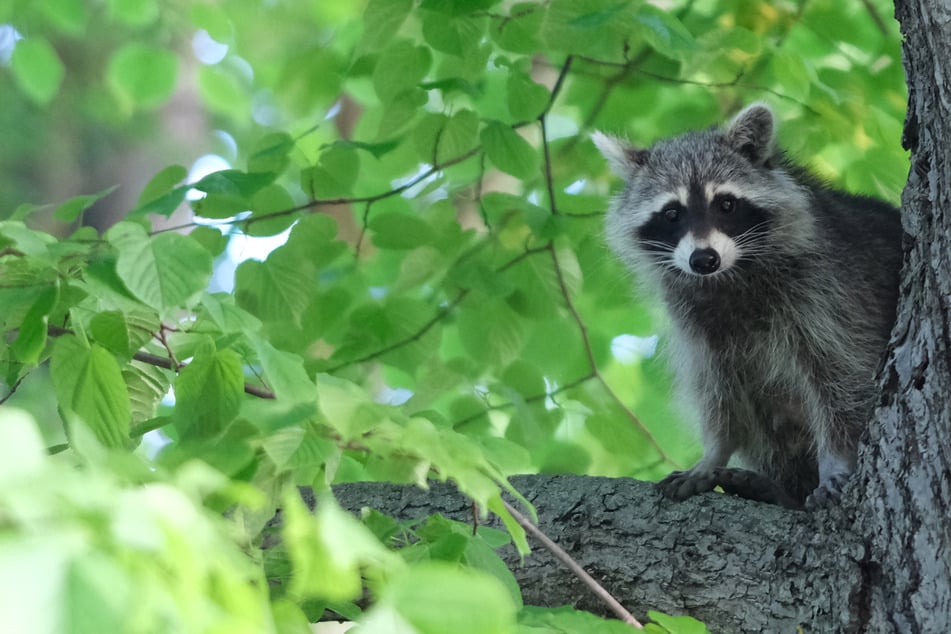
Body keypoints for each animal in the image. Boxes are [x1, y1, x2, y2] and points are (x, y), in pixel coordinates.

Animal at [593, 103, 902, 508]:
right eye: (672, 213)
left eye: (726, 204)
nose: (703, 259)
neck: (730, 276)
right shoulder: (697, 324)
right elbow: (718, 392)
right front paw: (715, 452)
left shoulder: (829, 294)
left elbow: (842, 378)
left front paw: (837, 459)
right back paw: (779, 490)